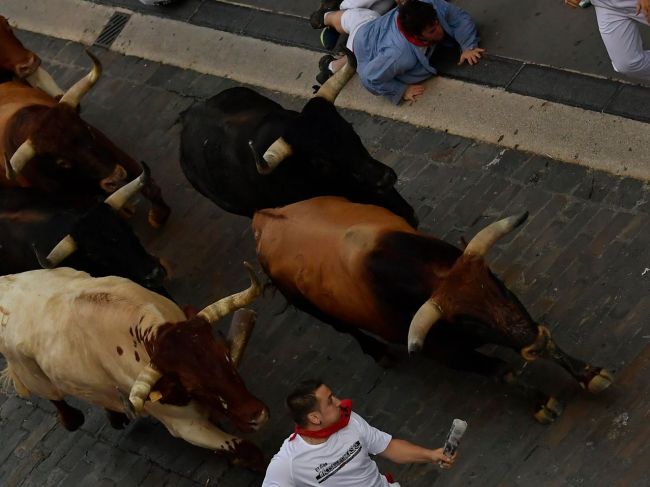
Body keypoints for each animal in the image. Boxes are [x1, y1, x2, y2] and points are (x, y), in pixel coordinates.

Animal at [0, 51, 170, 227]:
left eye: (88, 131)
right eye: (63, 163)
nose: (115, 177)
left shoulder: (109, 148)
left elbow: (143, 178)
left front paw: (159, 214)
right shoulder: (77, 202)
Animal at [0, 266, 268, 468]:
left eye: (225, 355)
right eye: (193, 385)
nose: (257, 415)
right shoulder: (186, 426)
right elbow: (247, 449)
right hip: (33, 377)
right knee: (55, 398)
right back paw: (72, 418)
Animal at [253, 197, 612, 424]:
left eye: (496, 282)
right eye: (469, 322)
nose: (533, 344)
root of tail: (266, 217)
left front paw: (588, 373)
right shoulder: (445, 353)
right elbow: (501, 370)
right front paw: (540, 403)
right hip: (311, 308)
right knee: (348, 329)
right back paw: (380, 353)